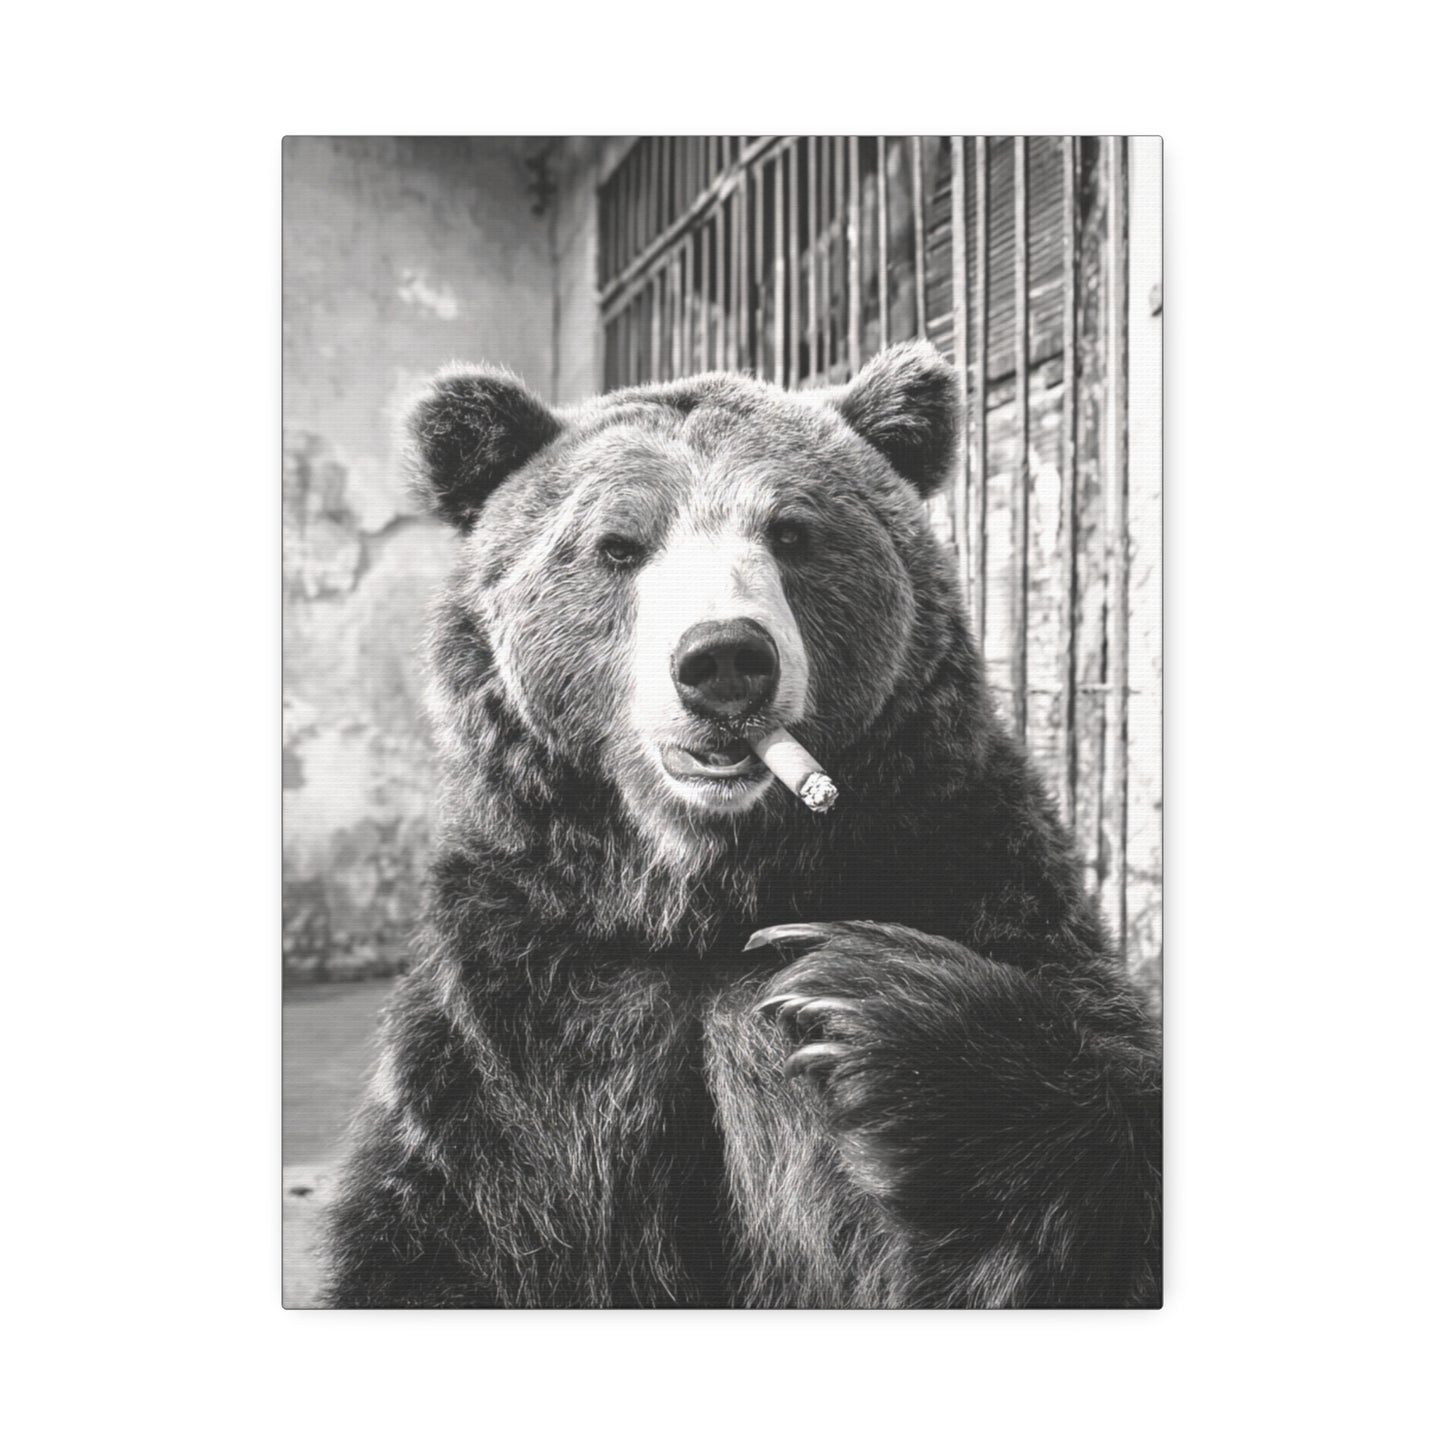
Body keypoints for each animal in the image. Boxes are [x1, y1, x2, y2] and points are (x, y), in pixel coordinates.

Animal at [321, 341, 1162, 1309]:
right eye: (618, 544)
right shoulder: (525, 1003)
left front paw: (856, 997)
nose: (724, 657)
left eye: (791, 530)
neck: (704, 891)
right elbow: (444, 1235)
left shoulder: (965, 860)